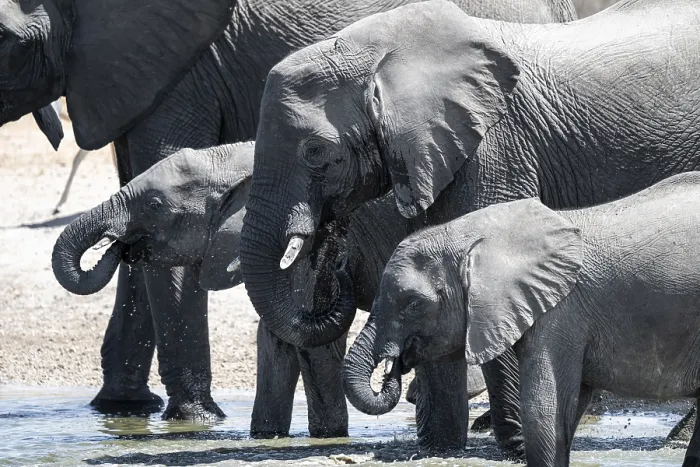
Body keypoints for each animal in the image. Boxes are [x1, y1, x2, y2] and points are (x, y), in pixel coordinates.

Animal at [344, 172, 700, 467]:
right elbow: (567, 408)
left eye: (413, 304)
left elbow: (543, 411)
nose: (393, 370)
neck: (477, 234)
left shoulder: (561, 312)